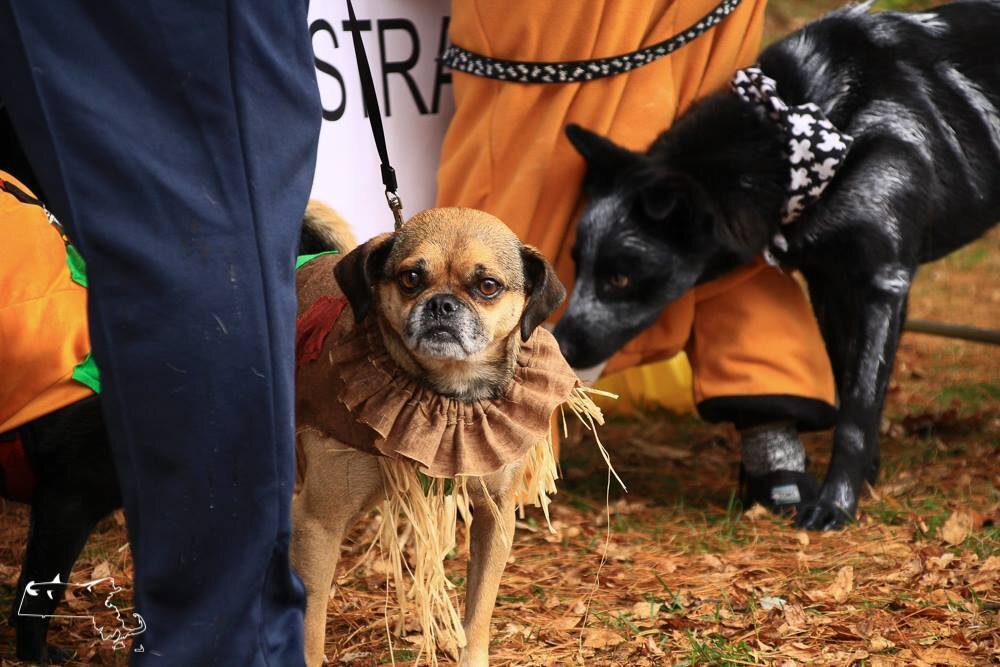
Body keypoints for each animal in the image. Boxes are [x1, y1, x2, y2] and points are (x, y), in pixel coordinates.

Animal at [292, 209, 568, 667]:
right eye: (410, 279)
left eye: (487, 286)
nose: (441, 304)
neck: (449, 393)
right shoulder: (319, 524)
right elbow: (311, 628)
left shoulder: (495, 517)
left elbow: (478, 613)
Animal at [556, 1, 1000, 532]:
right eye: (577, 264)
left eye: (619, 278)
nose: (557, 344)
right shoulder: (831, 282)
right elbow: (848, 382)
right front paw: (866, 478)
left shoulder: (883, 283)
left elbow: (857, 409)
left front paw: (836, 504)